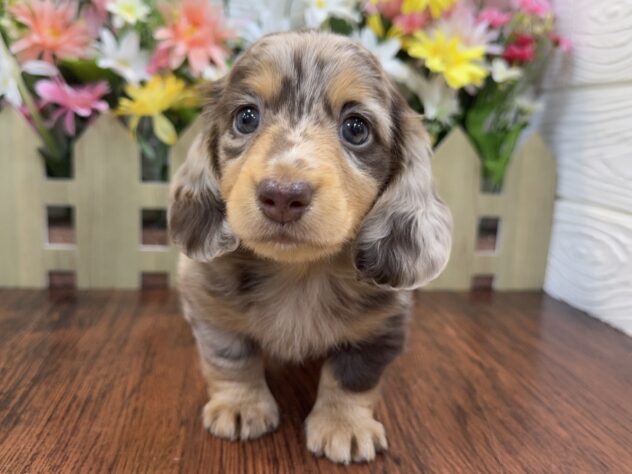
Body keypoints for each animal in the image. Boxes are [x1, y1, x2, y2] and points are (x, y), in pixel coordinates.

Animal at [168, 31, 452, 464]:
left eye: (356, 128)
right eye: (246, 118)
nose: (283, 196)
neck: (299, 274)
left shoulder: (380, 328)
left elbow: (352, 376)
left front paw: (344, 425)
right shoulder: (210, 307)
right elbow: (231, 357)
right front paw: (240, 406)